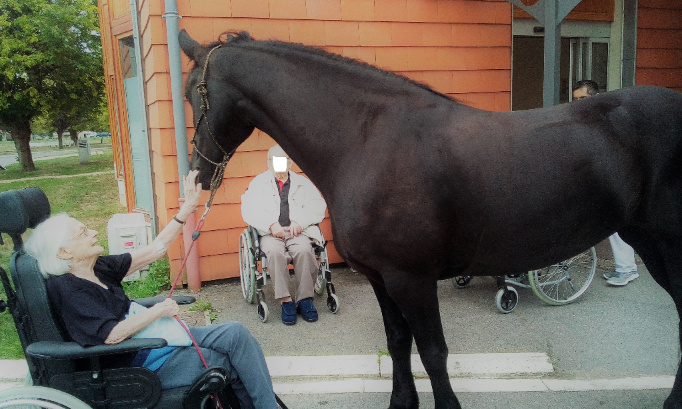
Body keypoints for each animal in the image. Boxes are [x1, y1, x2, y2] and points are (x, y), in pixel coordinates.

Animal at [179, 29, 682, 409]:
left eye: (193, 95)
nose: (198, 172)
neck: (368, 141)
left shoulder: (412, 279)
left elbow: (433, 351)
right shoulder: (381, 278)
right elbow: (398, 342)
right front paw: (402, 403)